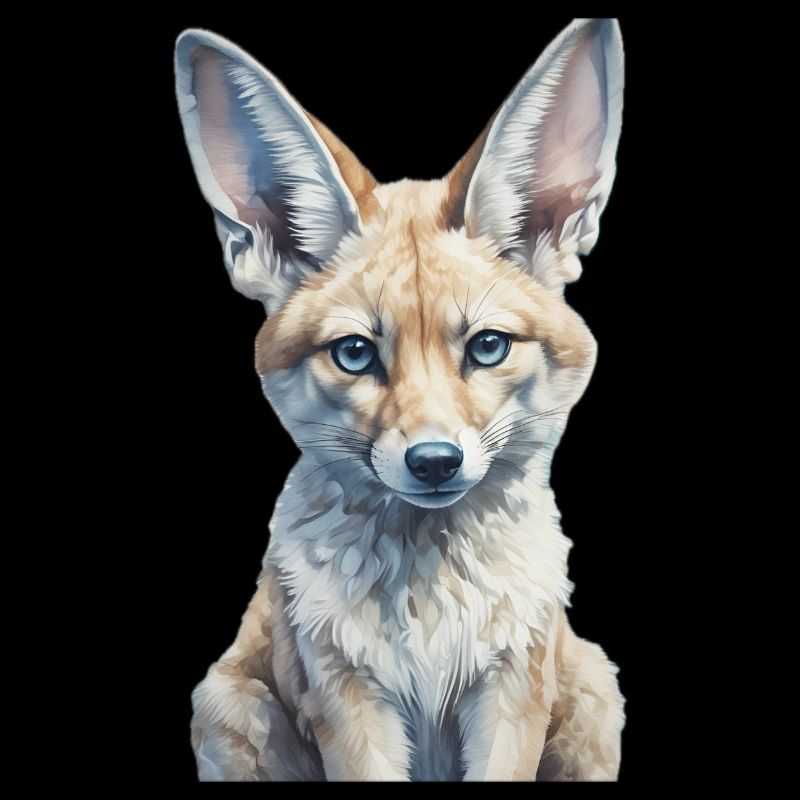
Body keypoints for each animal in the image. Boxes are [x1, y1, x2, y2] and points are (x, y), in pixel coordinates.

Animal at [175, 17, 625, 781]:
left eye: (487, 347)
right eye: (356, 353)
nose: (435, 461)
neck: (430, 609)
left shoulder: (512, 689)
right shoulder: (347, 698)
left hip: (595, 691)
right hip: (226, 706)